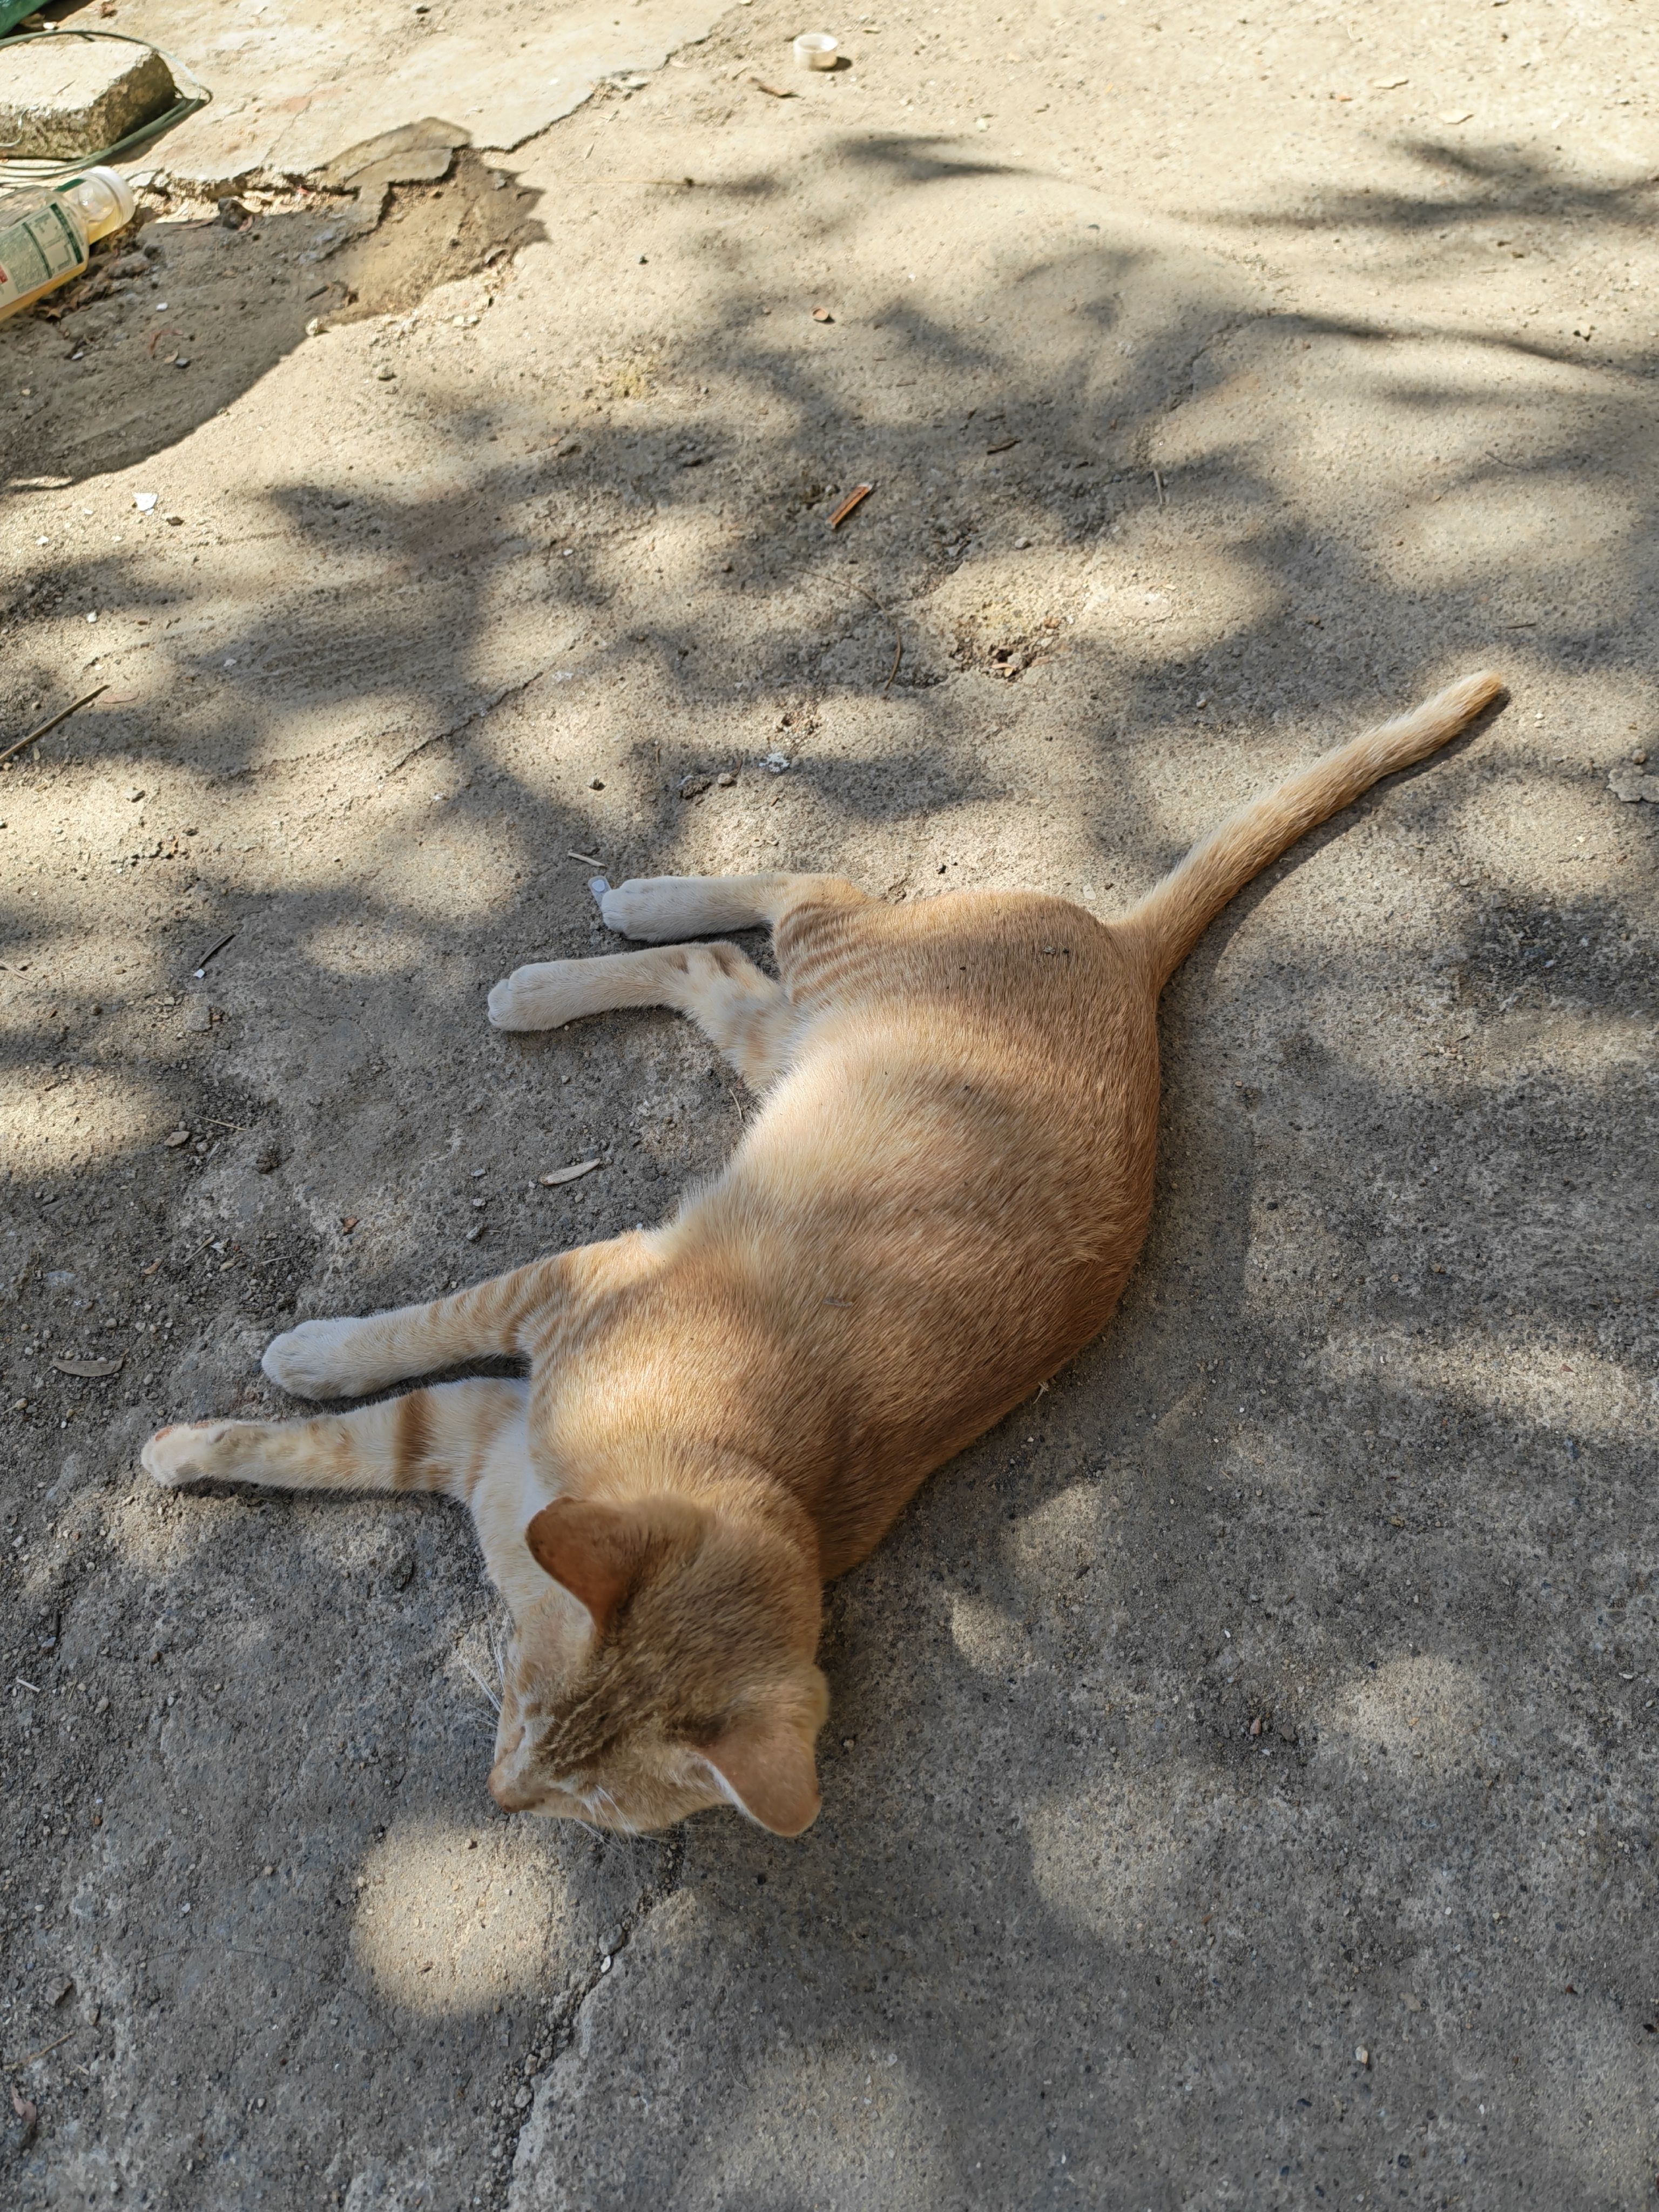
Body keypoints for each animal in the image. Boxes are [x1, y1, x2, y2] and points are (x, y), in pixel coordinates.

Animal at [142, 670, 1503, 1837]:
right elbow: (394, 1344)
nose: (500, 1796)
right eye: (523, 1694)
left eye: (585, 1795)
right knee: (805, 878)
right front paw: (287, 1369)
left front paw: (199, 1438)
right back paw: (616, 920)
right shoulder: (545, 1306)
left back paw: (571, 965)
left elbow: (332, 1445)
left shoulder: (475, 1425)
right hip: (826, 973)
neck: (729, 1458)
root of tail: (1125, 951)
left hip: (782, 1040)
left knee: (718, 964)